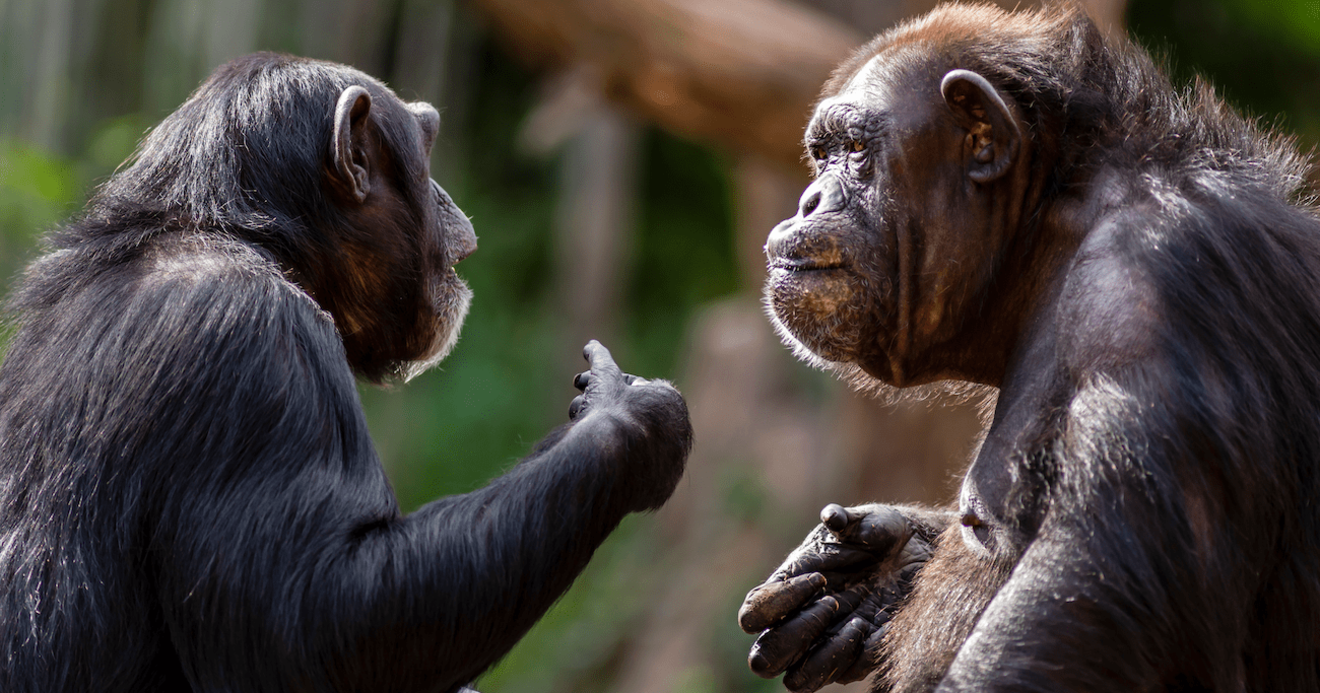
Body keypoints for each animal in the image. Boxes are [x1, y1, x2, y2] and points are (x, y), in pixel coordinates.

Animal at [0, 54, 696, 691]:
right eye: (427, 148)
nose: (446, 196)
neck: (244, 238)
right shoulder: (253, 346)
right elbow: (316, 622)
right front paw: (628, 417)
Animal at [739, 5, 1320, 691]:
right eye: (823, 154)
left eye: (856, 153)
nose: (810, 200)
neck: (1046, 232)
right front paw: (878, 570)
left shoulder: (1152, 294)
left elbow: (1088, 605)